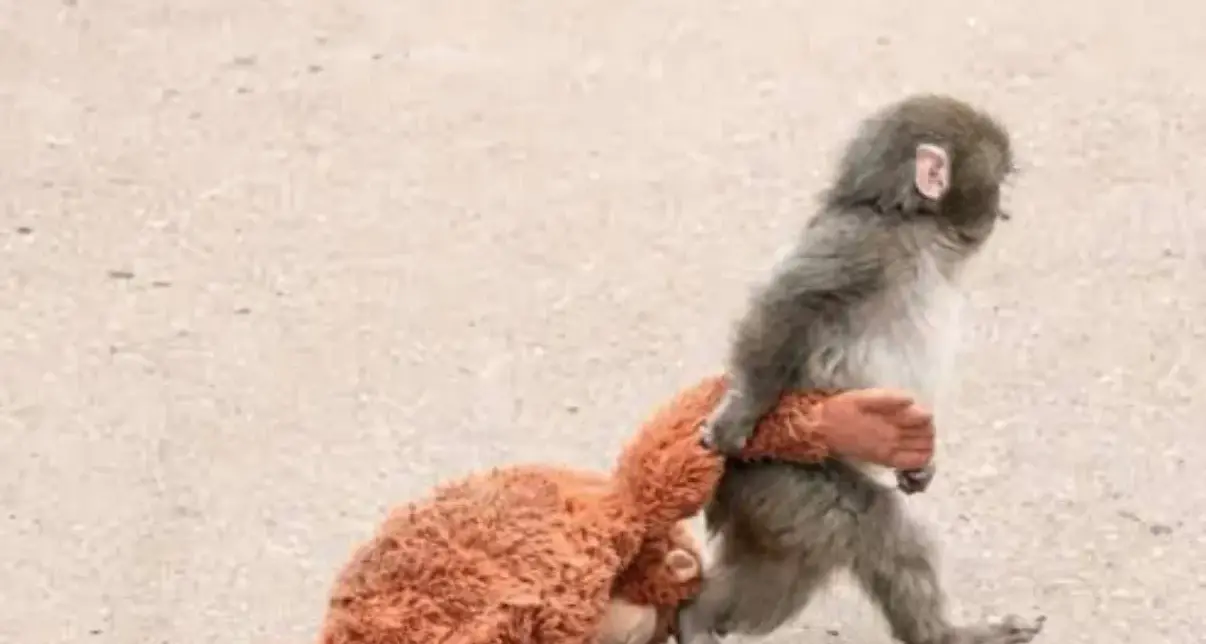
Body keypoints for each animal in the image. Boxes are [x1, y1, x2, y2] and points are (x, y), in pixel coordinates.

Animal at [675, 94, 1045, 644]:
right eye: (997, 179)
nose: (1004, 210)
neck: (914, 226)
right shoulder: (864, 245)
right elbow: (789, 302)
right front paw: (739, 411)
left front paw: (919, 464)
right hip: (785, 478)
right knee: (878, 528)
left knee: (784, 570)